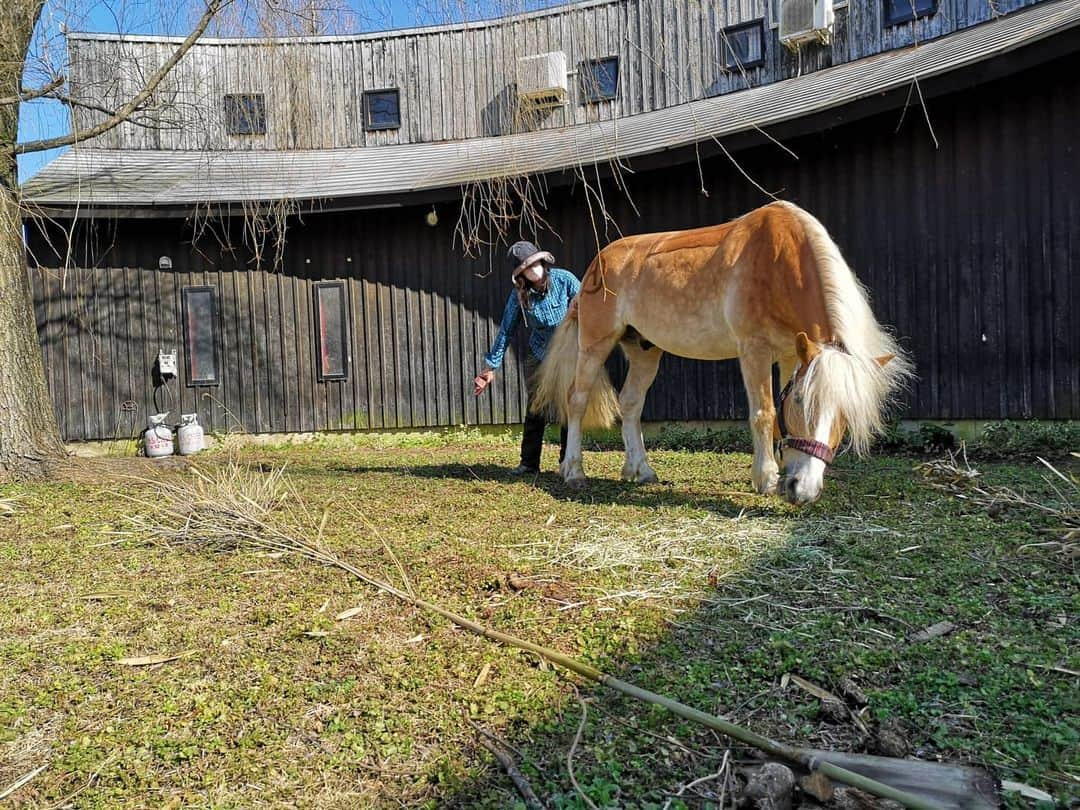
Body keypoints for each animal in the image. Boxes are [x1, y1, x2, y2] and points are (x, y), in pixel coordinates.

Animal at [531, 201, 911, 507]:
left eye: (845, 413)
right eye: (803, 402)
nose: (804, 490)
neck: (779, 263)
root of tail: (596, 266)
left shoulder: (792, 354)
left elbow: (778, 411)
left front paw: (784, 470)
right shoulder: (754, 350)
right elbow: (764, 413)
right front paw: (766, 478)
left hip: (644, 351)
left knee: (630, 404)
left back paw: (641, 470)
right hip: (595, 344)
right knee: (576, 399)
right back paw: (574, 471)